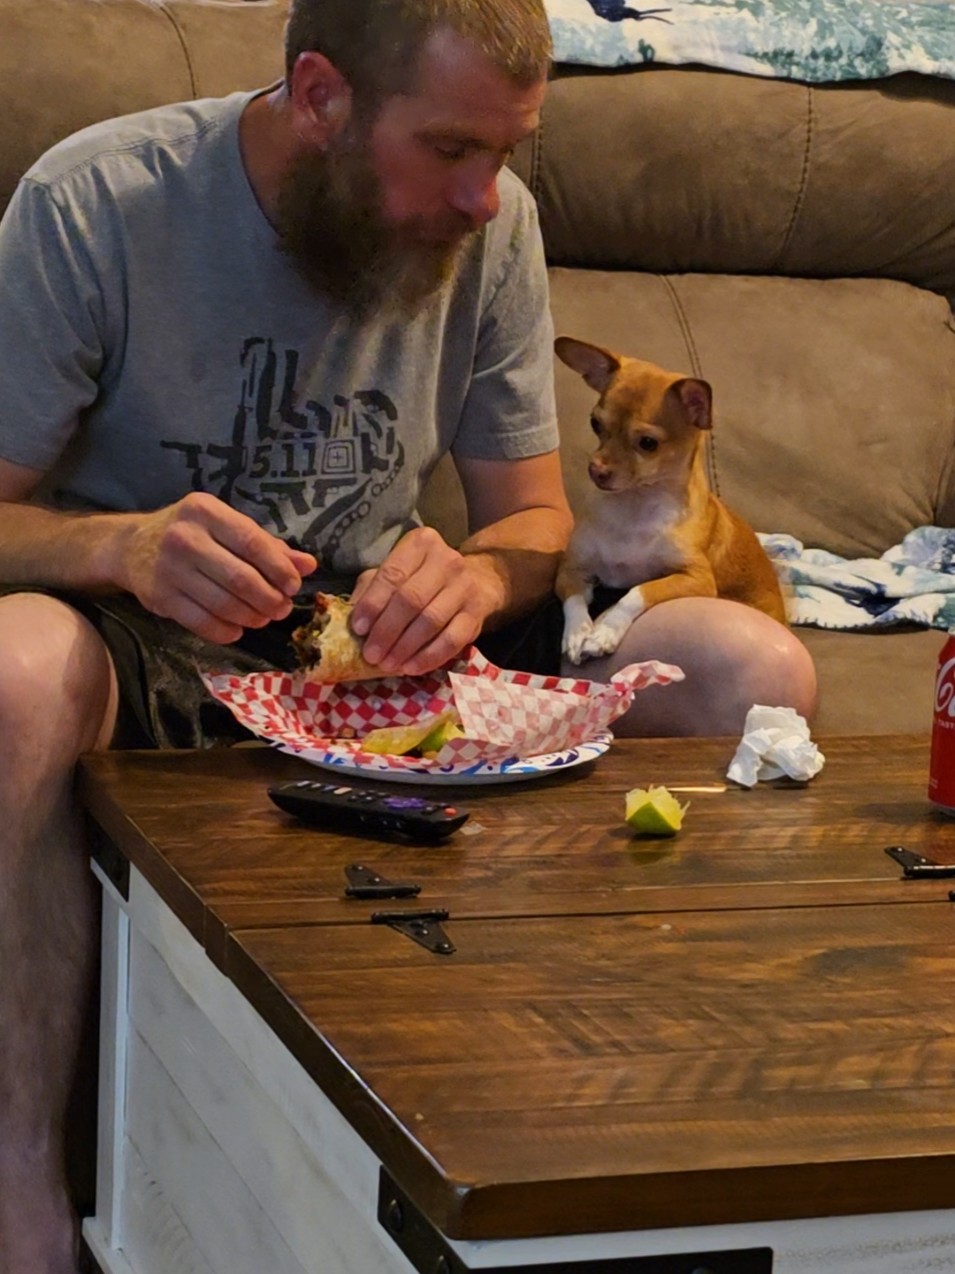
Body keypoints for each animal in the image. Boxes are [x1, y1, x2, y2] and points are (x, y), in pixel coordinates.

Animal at [557, 333, 789, 662]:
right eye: (595, 424)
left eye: (648, 443)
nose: (596, 470)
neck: (634, 507)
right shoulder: (571, 570)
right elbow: (575, 601)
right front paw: (578, 633)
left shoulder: (696, 578)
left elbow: (638, 592)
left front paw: (604, 630)